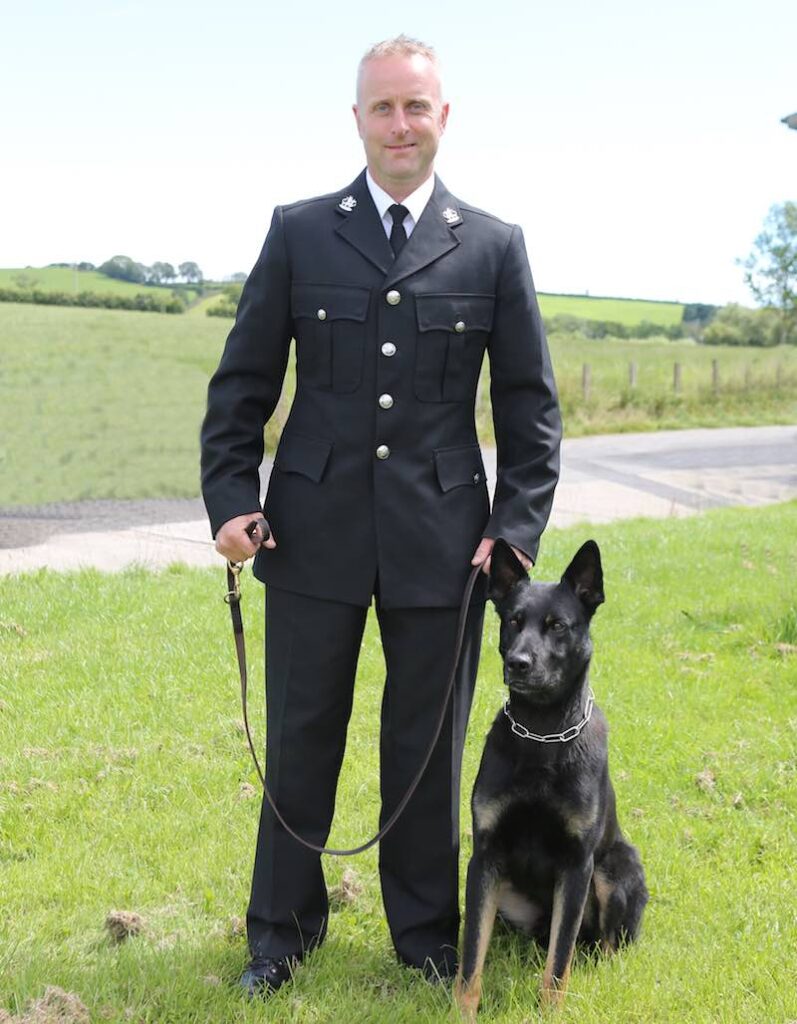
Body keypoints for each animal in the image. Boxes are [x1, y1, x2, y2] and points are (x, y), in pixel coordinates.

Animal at [452, 540, 647, 1019]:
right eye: (512, 621)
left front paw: (551, 1011)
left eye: (557, 625)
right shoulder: (485, 859)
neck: (542, 733)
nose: (518, 663)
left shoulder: (577, 865)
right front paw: (461, 1013)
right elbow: (471, 955)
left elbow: (559, 963)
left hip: (614, 869)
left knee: (599, 946)